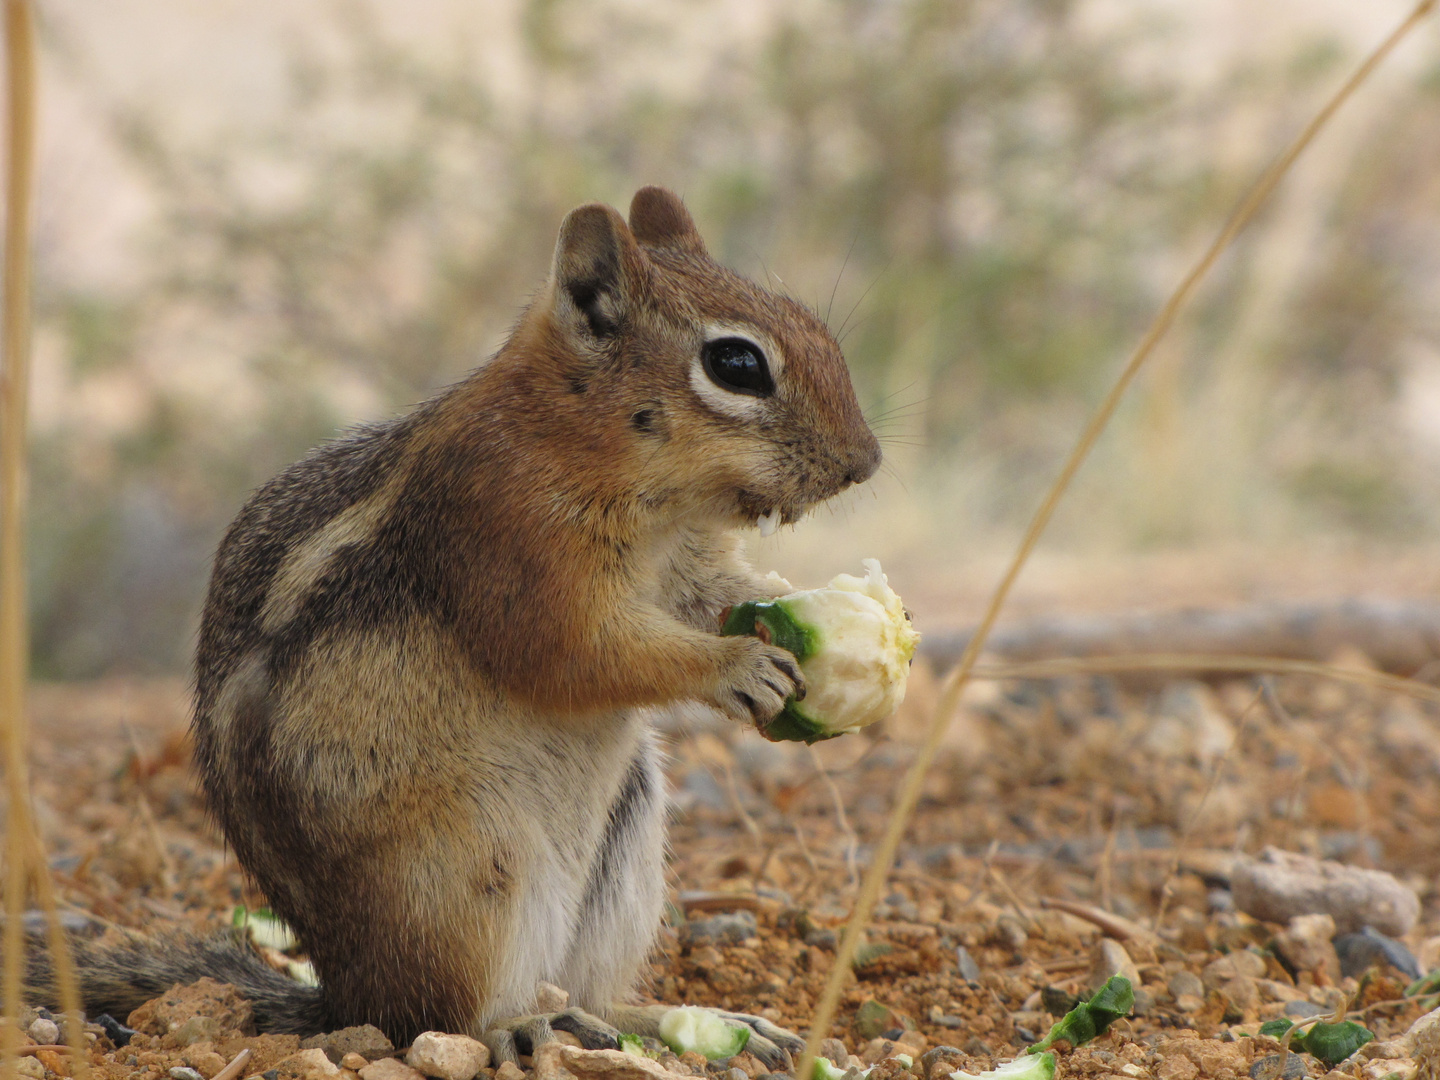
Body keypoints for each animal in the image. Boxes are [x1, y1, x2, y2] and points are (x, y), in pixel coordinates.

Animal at [42, 185, 875, 1065]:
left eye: (807, 321)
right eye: (737, 365)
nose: (867, 461)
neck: (576, 433)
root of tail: (345, 991)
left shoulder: (682, 564)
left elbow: (714, 592)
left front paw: (813, 611)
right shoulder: (509, 541)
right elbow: (581, 653)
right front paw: (740, 665)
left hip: (626, 849)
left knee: (595, 996)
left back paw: (689, 1025)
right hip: (467, 869)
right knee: (438, 1018)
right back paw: (521, 1026)